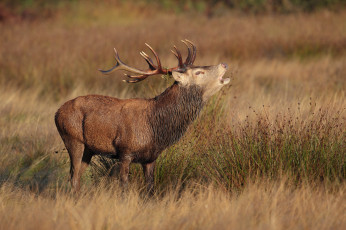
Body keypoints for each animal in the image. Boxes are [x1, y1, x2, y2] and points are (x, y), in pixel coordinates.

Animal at [54, 40, 230, 192]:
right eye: (198, 72)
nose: (224, 64)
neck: (156, 129)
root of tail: (57, 113)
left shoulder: (151, 158)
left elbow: (150, 187)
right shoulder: (125, 151)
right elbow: (124, 185)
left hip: (88, 150)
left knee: (76, 176)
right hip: (72, 138)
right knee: (73, 177)